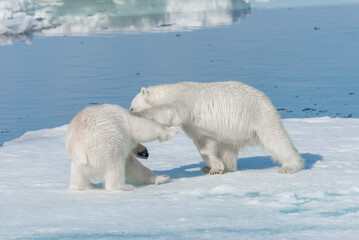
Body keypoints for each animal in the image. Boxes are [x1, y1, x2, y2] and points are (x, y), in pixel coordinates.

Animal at [131, 81, 306, 174]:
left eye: (132, 106)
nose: (131, 110)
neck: (168, 92)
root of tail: (266, 99)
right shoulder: (195, 126)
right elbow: (205, 145)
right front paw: (215, 167)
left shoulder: (184, 101)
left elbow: (170, 111)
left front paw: (141, 114)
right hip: (232, 133)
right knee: (228, 149)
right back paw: (226, 167)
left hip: (260, 116)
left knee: (276, 139)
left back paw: (290, 166)